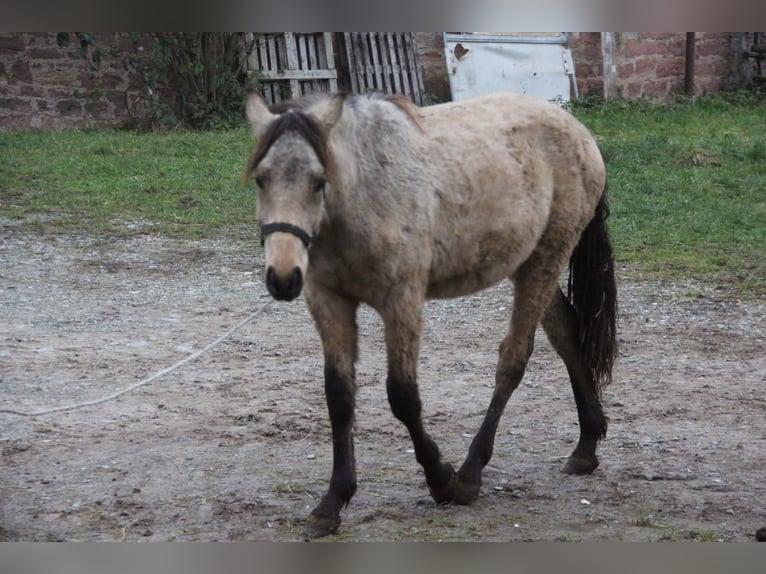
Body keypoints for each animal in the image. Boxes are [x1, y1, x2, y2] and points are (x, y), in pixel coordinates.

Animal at [246, 90, 616, 540]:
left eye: (319, 181)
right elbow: (339, 396)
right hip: (529, 263)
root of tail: (580, 133)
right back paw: (586, 447)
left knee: (514, 358)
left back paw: (471, 473)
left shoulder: (402, 301)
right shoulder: (328, 301)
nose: (282, 278)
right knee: (565, 333)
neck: (366, 191)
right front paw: (332, 503)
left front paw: (441, 480)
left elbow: (403, 396)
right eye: (261, 179)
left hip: (546, 258)